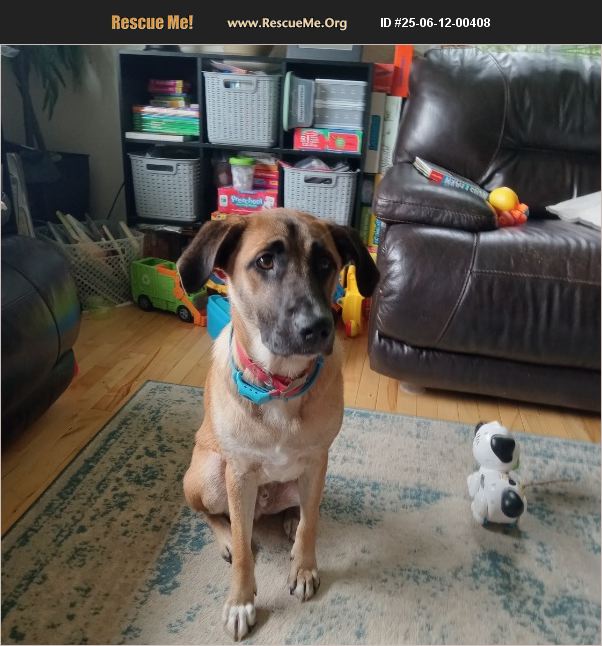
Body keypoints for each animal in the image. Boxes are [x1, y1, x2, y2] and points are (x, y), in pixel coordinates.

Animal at [176, 208, 379, 640]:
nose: (318, 327)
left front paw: (303, 567)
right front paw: (240, 601)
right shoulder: (238, 473)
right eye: (265, 261)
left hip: (296, 481)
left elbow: (311, 523)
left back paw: (288, 519)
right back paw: (228, 538)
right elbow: (241, 545)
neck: (280, 384)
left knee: (300, 508)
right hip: (209, 476)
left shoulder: (318, 462)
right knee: (213, 515)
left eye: (326, 263)